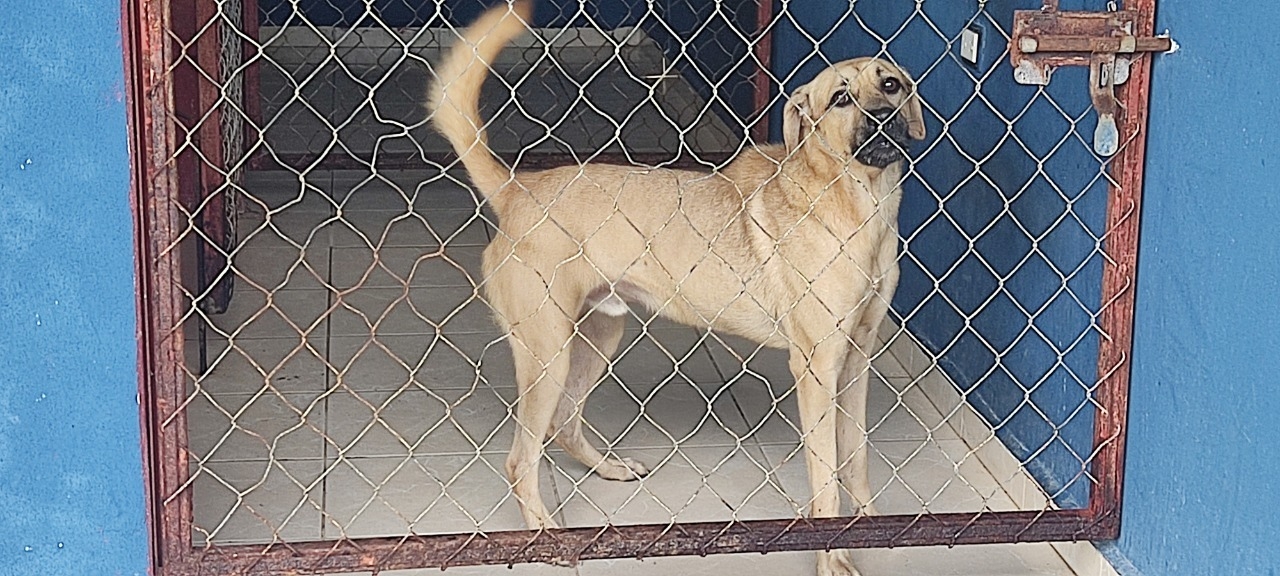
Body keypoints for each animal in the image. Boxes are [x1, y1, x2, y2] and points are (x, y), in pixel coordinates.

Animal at [427, 2, 921, 573]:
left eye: (889, 84)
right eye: (841, 98)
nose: (883, 116)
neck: (860, 205)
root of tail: (518, 189)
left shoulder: (857, 358)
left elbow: (855, 457)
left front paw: (874, 530)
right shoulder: (817, 367)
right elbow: (826, 479)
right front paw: (832, 554)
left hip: (597, 338)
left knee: (563, 426)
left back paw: (607, 470)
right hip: (547, 353)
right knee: (520, 457)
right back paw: (545, 538)